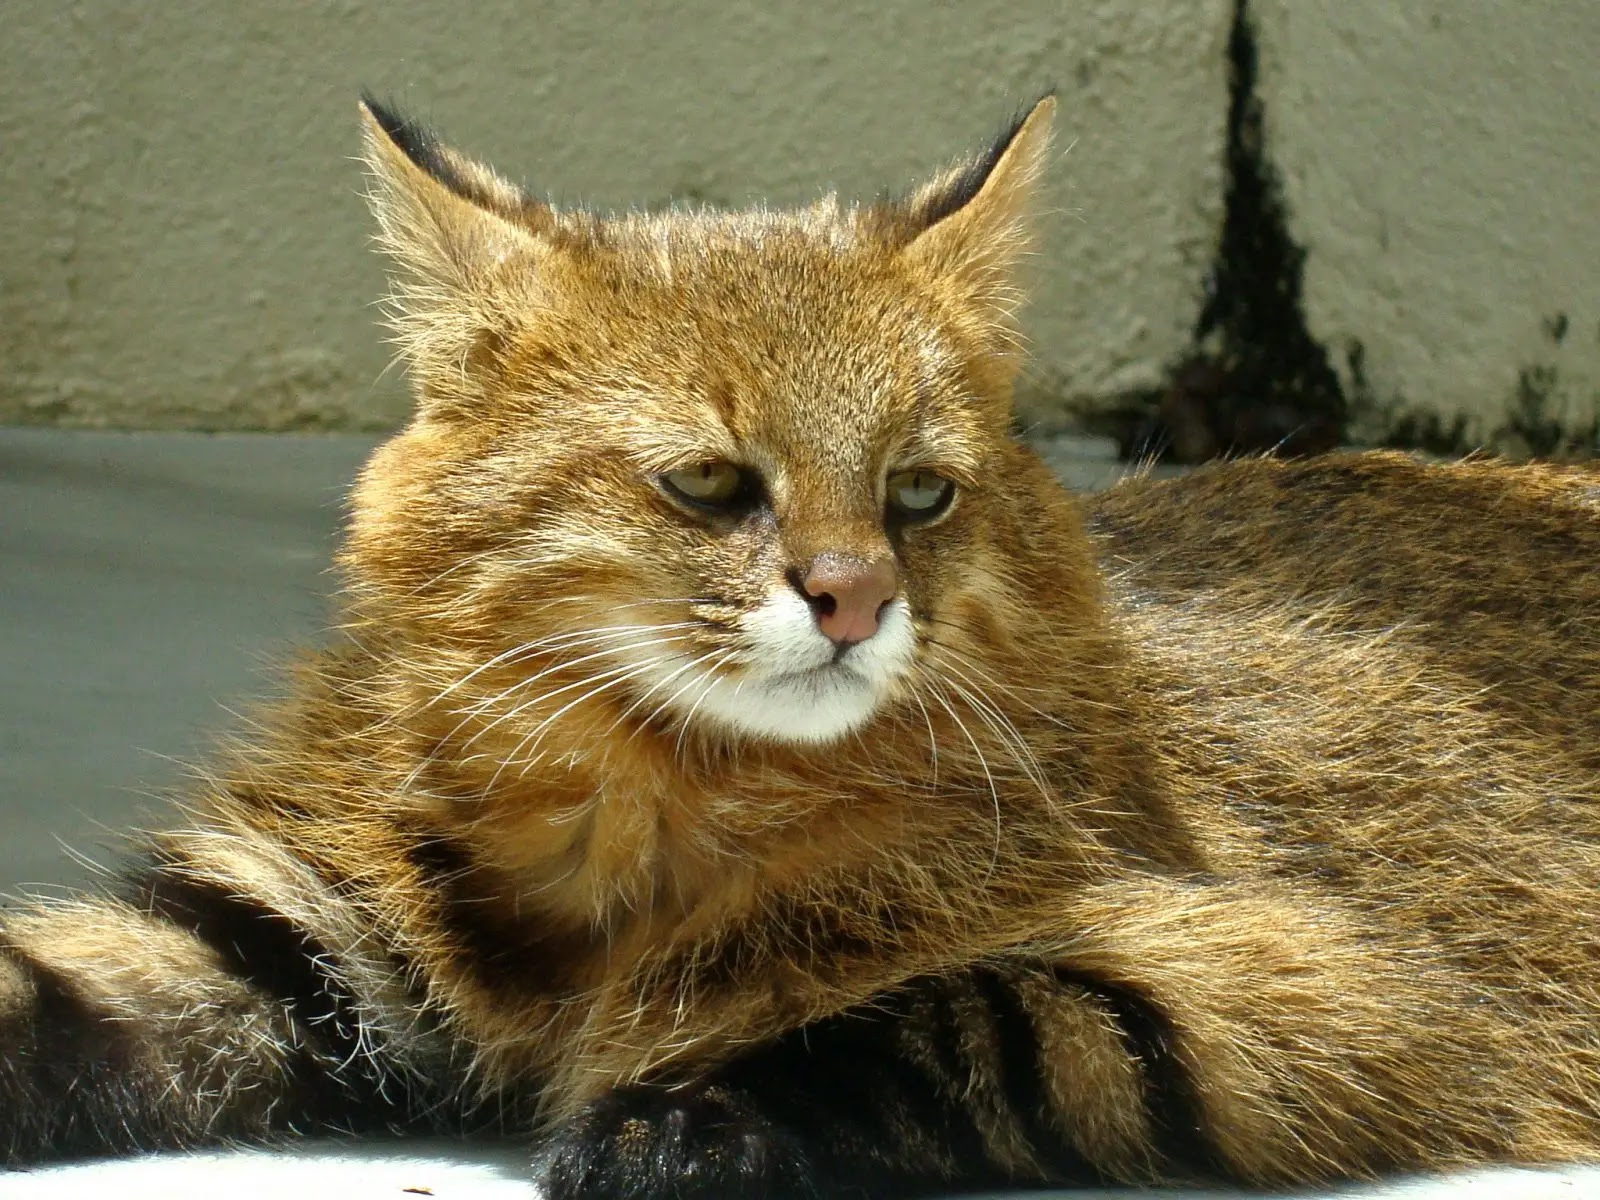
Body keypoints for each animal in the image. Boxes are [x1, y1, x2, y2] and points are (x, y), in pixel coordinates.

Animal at [3, 94, 1600, 1200]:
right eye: (711, 482)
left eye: (918, 493)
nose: (854, 598)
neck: (647, 819)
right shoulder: (283, 926)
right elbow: (55, 980)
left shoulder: (1317, 997)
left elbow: (953, 1017)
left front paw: (669, 1123)